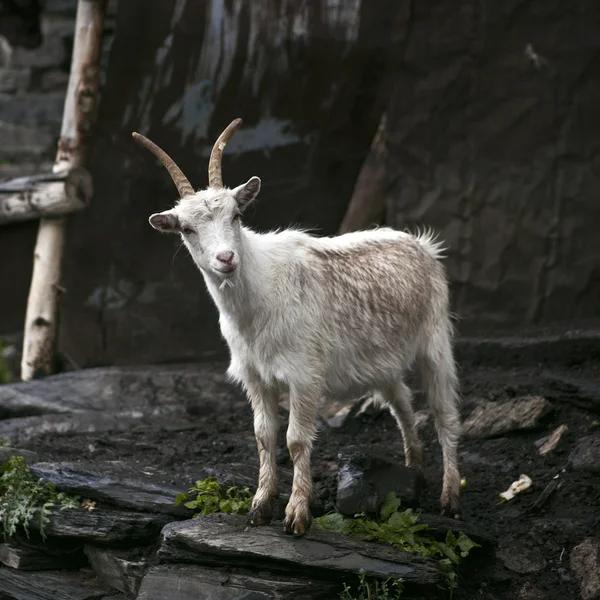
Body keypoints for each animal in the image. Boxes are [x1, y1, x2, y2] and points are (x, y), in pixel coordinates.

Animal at [134, 119, 462, 536]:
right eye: (187, 229)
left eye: (236, 216)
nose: (226, 258)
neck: (257, 297)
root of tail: (423, 246)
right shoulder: (254, 376)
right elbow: (263, 435)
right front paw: (260, 507)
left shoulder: (305, 374)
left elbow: (295, 440)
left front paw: (296, 515)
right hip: (384, 359)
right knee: (401, 401)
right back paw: (413, 467)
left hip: (435, 338)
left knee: (444, 411)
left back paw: (450, 497)